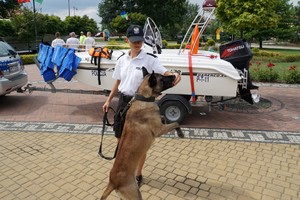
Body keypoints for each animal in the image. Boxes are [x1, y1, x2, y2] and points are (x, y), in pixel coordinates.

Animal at [101, 68, 183, 199]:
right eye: (162, 78)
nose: (175, 76)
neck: (144, 98)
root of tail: (112, 182)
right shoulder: (159, 130)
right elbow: (176, 122)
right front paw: (180, 133)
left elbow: (164, 117)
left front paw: (164, 119)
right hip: (134, 194)